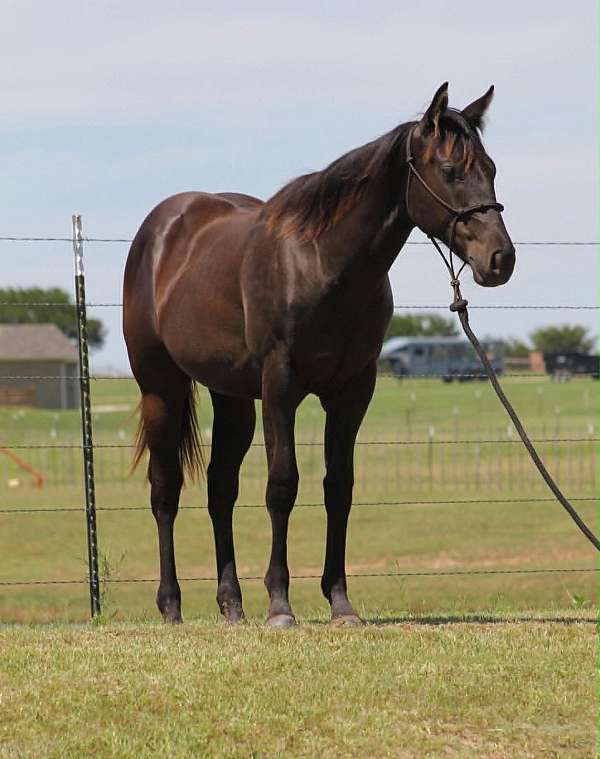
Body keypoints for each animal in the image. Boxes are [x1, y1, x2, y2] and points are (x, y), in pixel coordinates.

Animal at [123, 83, 515, 627]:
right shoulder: (281, 386)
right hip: (160, 387)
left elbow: (339, 488)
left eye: (492, 168)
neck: (322, 263)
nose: (500, 259)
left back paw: (232, 605)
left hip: (233, 398)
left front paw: (340, 602)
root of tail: (161, 230)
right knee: (165, 491)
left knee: (221, 489)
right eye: (451, 170)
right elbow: (282, 485)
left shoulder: (352, 392)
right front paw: (280, 605)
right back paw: (172, 605)